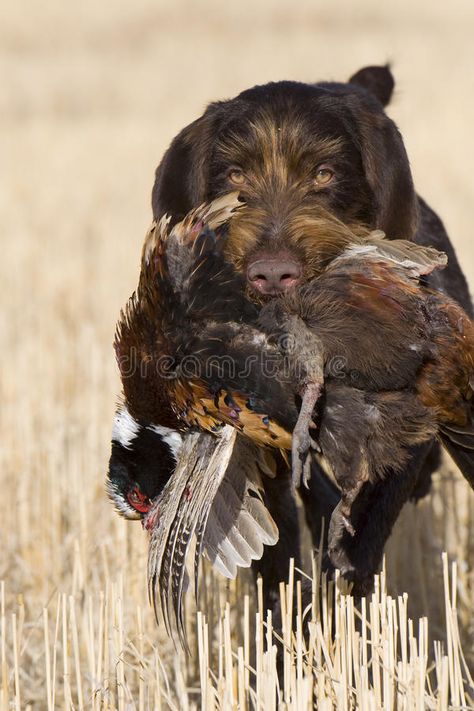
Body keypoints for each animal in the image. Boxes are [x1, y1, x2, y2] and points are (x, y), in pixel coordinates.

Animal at [147, 65, 470, 600]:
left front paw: (348, 585)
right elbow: (275, 553)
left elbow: (370, 518)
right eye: (235, 176)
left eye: (324, 173)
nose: (272, 274)